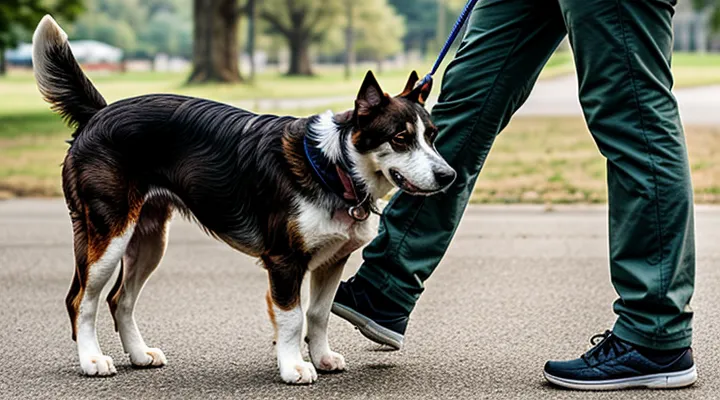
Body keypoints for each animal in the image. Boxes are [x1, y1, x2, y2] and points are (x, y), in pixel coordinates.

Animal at [33, 15, 456, 384]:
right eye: (400, 139)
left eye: (433, 136)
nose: (448, 176)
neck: (333, 166)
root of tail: (99, 114)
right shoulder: (284, 260)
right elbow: (292, 318)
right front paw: (293, 366)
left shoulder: (332, 260)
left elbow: (318, 314)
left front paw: (320, 357)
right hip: (108, 236)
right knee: (82, 301)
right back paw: (91, 359)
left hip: (149, 240)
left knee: (120, 299)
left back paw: (138, 354)